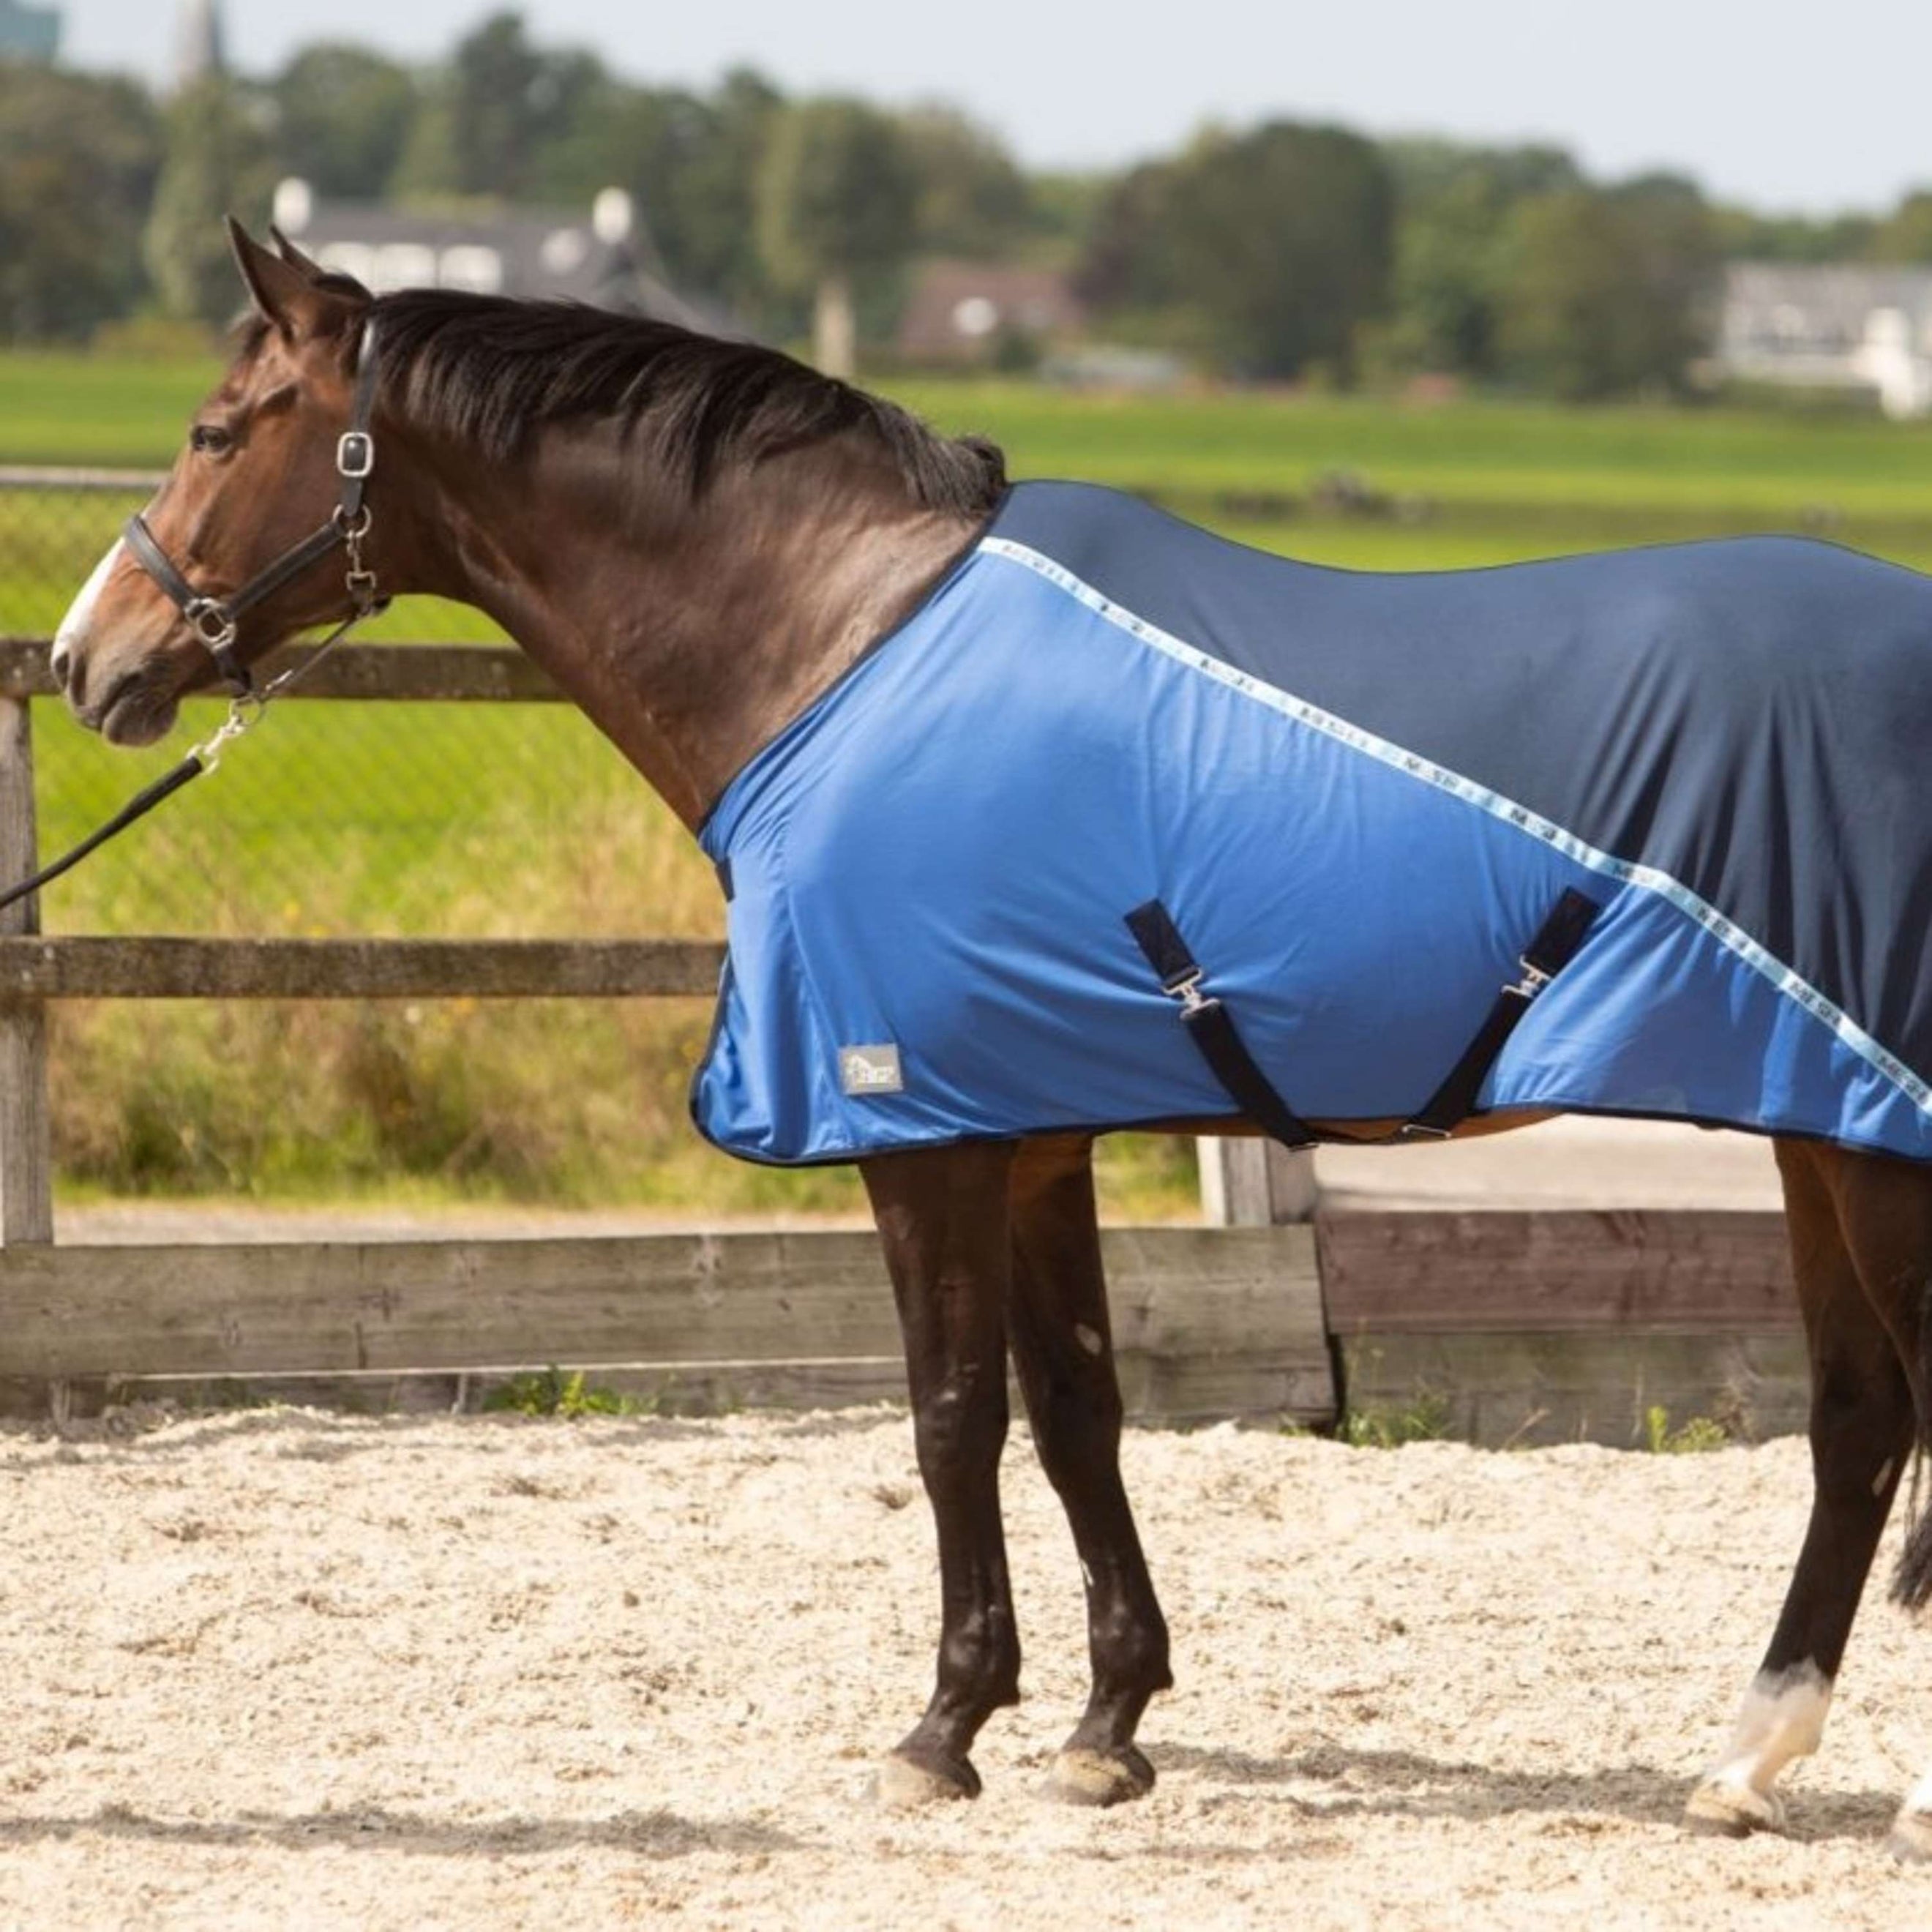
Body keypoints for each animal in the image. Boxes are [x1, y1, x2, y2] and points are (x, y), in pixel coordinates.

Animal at [47, 220, 1932, 1853]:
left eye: (215, 430)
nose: (86, 662)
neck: (844, 644)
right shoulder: (1033, 1127)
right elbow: (1077, 1406)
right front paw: (1106, 1729)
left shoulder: (920, 1132)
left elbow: (950, 1413)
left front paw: (942, 1730)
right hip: (1817, 1125)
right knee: (1855, 1423)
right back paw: (1745, 1762)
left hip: (1871, 1138)